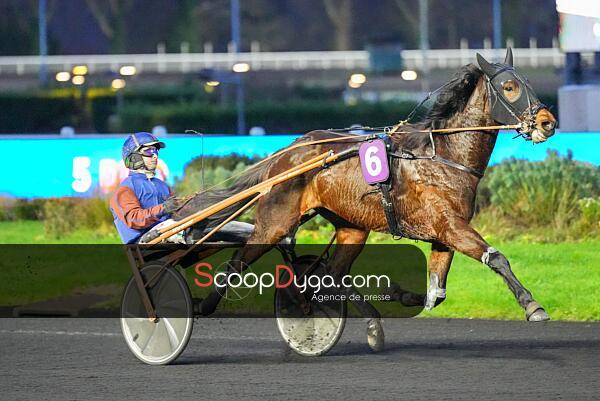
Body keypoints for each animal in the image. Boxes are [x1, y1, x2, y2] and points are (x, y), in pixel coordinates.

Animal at [175, 48, 557, 351]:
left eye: (528, 83)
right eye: (509, 86)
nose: (547, 122)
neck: (444, 155)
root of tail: (285, 154)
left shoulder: (445, 234)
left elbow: (436, 294)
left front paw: (400, 294)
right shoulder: (451, 227)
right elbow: (497, 258)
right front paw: (533, 306)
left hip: (351, 227)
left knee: (332, 274)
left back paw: (367, 324)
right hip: (275, 223)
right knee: (235, 265)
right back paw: (203, 307)